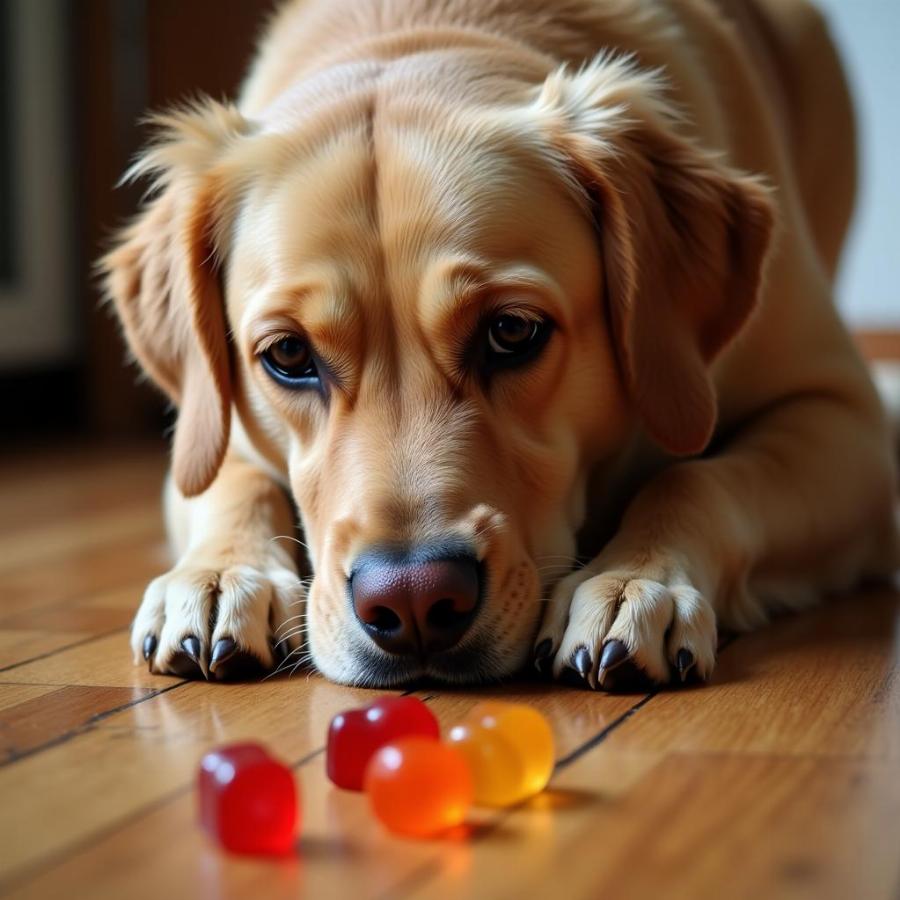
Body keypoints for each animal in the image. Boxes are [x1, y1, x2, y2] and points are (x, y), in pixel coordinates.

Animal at [103, 0, 900, 684]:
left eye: (512, 331)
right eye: (289, 356)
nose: (413, 601)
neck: (417, 34)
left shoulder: (849, 426)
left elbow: (696, 477)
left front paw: (634, 582)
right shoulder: (211, 432)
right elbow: (231, 483)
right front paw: (216, 577)